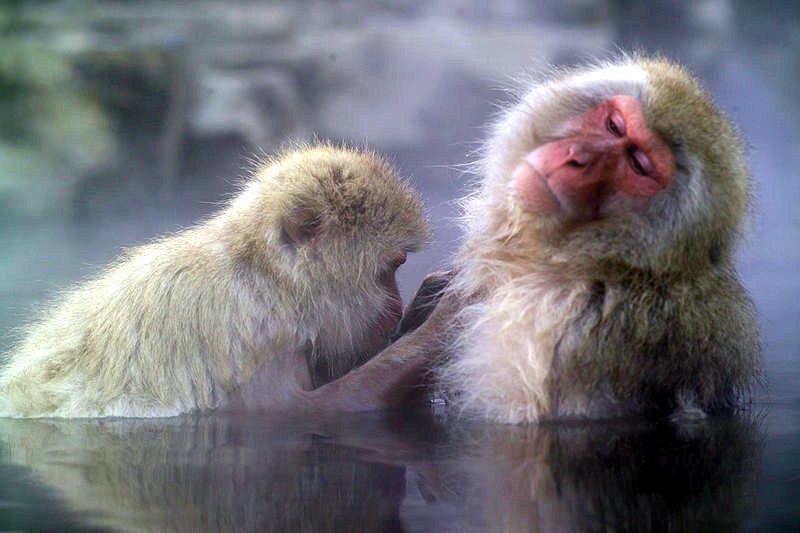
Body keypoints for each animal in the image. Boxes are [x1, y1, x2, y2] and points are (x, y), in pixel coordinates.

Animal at [0, 144, 429, 418]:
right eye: (388, 271)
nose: (396, 310)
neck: (268, 279)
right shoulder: (252, 334)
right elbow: (303, 410)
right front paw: (432, 328)